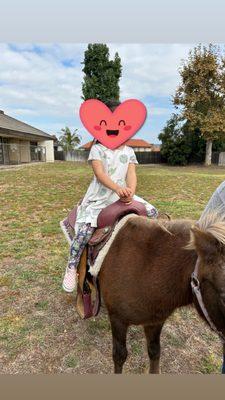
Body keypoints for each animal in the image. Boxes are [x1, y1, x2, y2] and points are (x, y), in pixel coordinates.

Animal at [99, 214, 225, 374]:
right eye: (224, 297)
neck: (147, 267)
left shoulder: (155, 321)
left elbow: (154, 351)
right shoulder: (117, 320)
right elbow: (119, 356)